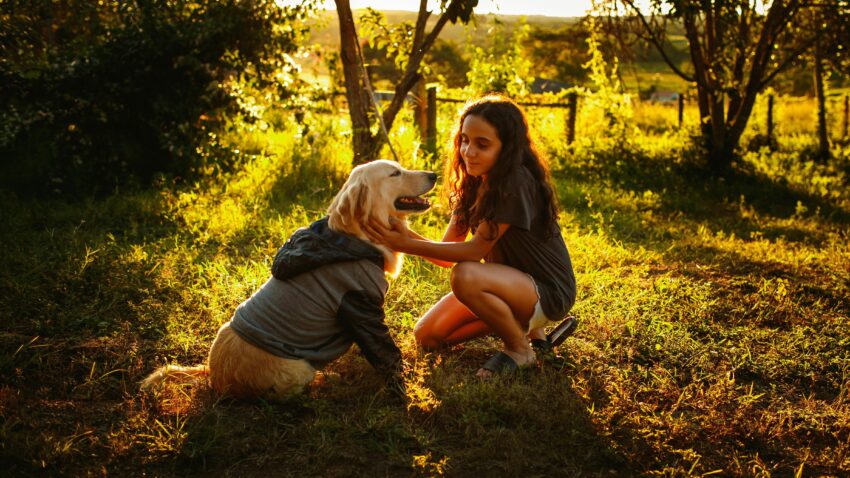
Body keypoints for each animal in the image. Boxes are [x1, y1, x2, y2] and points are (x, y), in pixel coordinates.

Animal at [142, 160, 434, 400]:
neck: (351, 239)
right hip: (298, 367)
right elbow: (386, 352)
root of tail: (214, 377)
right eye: (394, 173)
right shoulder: (361, 307)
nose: (434, 174)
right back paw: (328, 379)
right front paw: (403, 387)